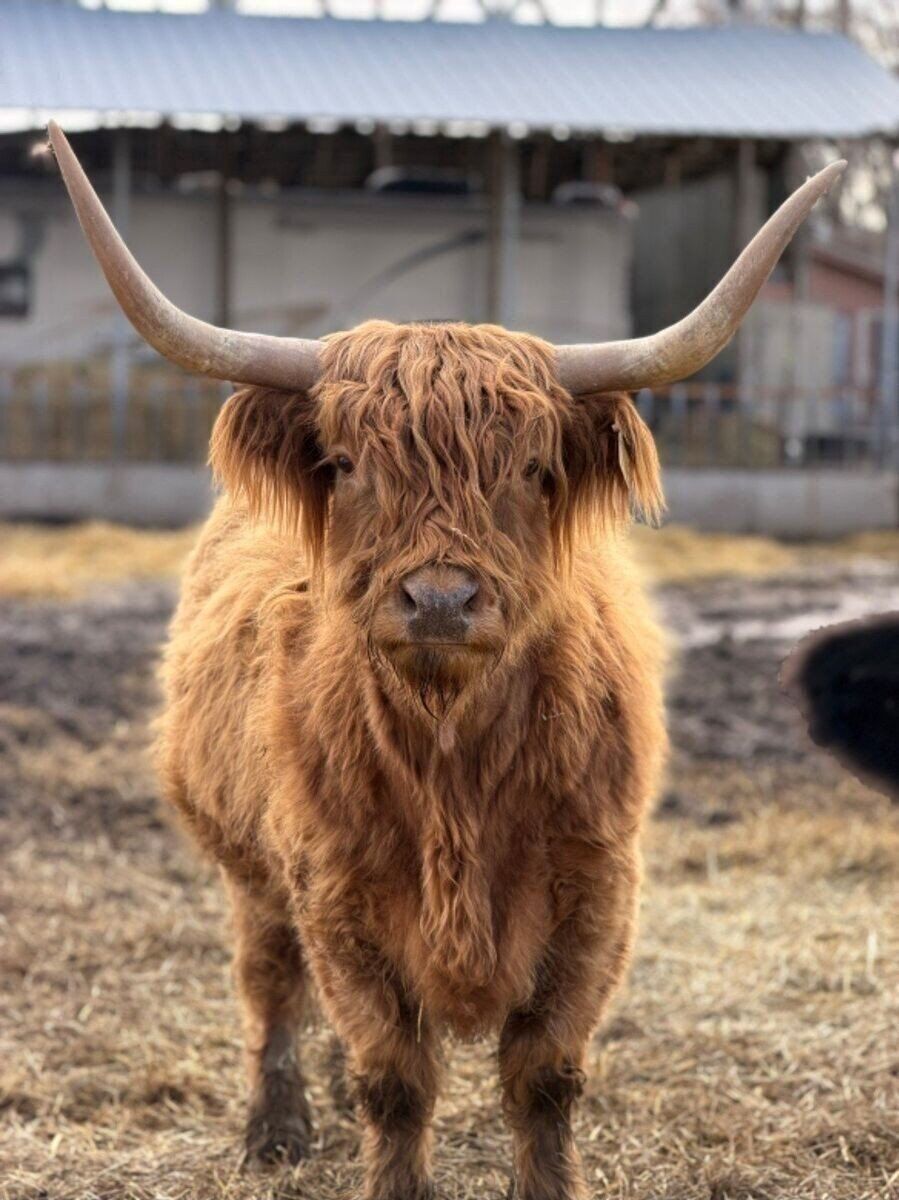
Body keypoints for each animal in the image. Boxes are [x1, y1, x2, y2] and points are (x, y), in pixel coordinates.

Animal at [49, 121, 843, 1200]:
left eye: (532, 468)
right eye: (347, 464)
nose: (438, 601)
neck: (453, 760)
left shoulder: (597, 897)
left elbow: (542, 1076)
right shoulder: (335, 897)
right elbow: (395, 1077)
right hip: (248, 870)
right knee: (270, 986)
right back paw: (277, 1126)